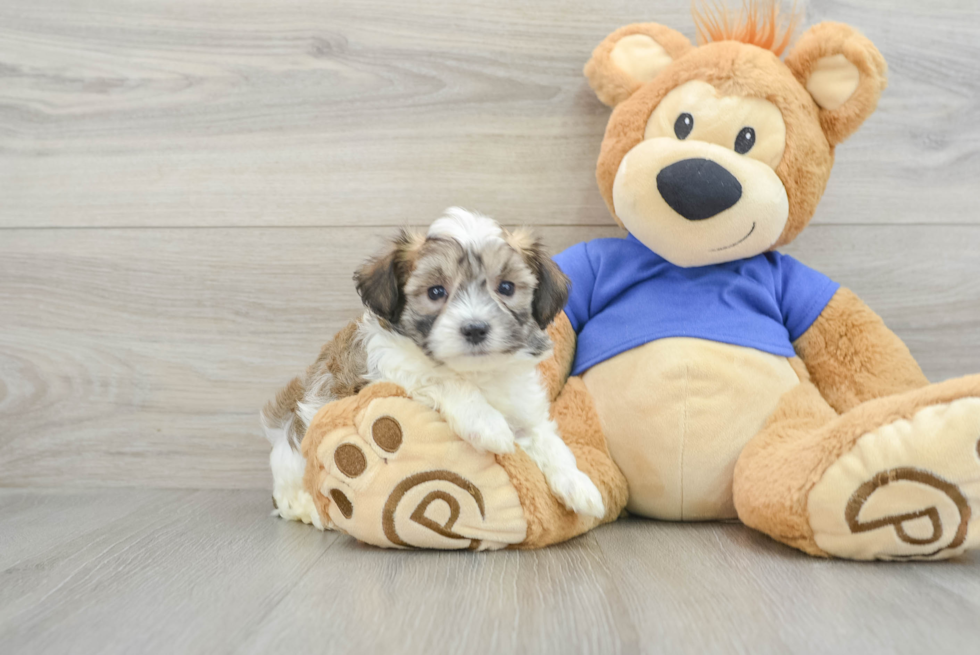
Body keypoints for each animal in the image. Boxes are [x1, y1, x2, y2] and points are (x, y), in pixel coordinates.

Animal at [264, 208, 604, 520]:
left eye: (506, 287)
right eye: (436, 291)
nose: (475, 328)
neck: (476, 371)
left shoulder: (524, 406)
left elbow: (548, 441)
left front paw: (580, 485)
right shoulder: (390, 370)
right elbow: (442, 379)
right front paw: (487, 423)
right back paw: (306, 507)